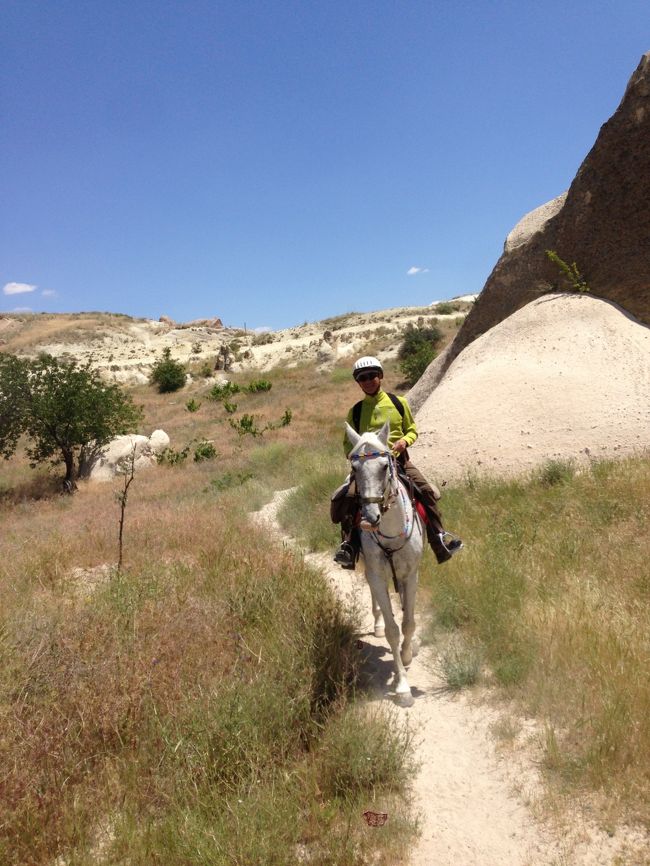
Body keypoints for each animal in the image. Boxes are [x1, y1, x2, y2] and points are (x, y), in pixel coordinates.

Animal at [344, 420, 426, 708]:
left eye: (383, 466)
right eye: (354, 468)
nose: (369, 518)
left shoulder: (411, 574)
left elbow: (409, 622)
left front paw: (408, 653)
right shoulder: (378, 575)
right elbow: (392, 629)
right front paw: (402, 688)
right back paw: (378, 624)